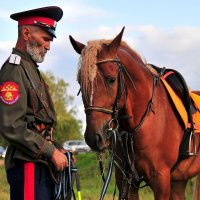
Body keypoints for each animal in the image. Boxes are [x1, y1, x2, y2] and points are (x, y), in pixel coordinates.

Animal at [69, 27, 200, 199]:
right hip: (179, 181)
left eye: (111, 79)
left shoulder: (161, 179)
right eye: (80, 81)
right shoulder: (126, 181)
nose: (93, 137)